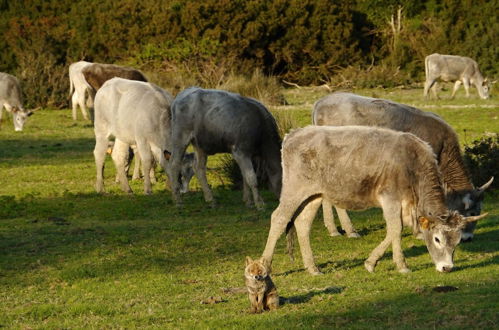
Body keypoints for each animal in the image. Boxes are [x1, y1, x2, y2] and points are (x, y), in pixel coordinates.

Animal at [262, 125, 488, 274]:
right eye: (437, 239)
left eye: (457, 241)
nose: (447, 267)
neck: (412, 163)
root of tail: (295, 133)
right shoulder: (390, 197)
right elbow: (396, 229)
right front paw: (402, 265)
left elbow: (394, 229)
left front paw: (371, 262)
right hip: (294, 190)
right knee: (279, 219)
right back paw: (265, 265)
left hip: (314, 195)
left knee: (303, 223)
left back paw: (312, 267)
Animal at [314, 91, 494, 241]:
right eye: (472, 212)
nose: (468, 238)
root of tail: (321, 101)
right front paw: (420, 231)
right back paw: (350, 230)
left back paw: (333, 229)